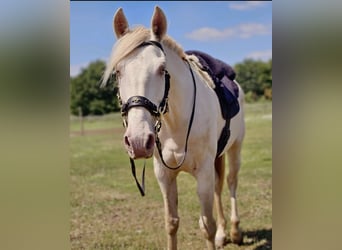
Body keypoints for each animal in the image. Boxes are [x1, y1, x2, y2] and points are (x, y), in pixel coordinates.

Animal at [101, 6, 246, 250]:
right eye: (118, 72)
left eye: (162, 68)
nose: (138, 141)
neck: (177, 122)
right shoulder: (164, 175)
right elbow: (171, 223)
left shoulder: (203, 172)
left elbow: (207, 225)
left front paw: (216, 232)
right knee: (219, 189)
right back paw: (223, 234)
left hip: (235, 148)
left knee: (231, 183)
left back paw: (235, 232)